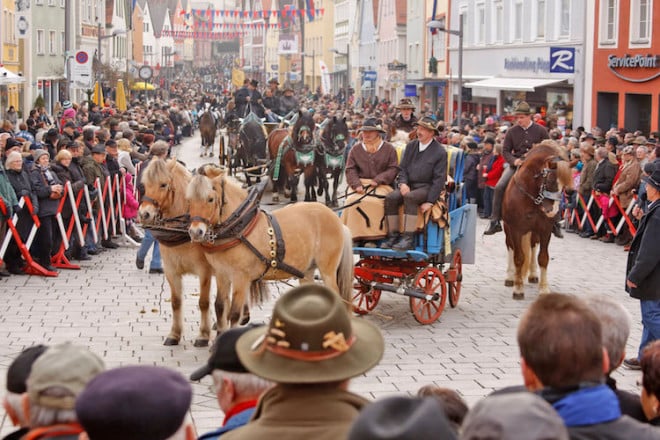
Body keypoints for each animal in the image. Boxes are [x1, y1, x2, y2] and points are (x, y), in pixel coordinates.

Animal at [137, 158, 232, 348]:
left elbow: (203, 302)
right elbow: (175, 302)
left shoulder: (204, 272)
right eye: (144, 185)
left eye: (163, 184)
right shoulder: (171, 270)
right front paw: (174, 334)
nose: (144, 214)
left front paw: (203, 335)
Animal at [183, 169, 354, 326]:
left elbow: (234, 314)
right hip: (307, 270)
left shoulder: (240, 278)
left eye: (210, 199)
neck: (239, 228)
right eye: (188, 200)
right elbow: (220, 308)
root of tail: (337, 220)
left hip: (327, 271)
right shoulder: (221, 274)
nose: (195, 232)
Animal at [502, 141, 576, 300]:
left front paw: (544, 288)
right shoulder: (516, 230)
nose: (552, 211)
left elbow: (543, 258)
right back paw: (510, 277)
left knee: (533, 245)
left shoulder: (545, 230)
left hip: (534, 231)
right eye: (551, 181)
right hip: (507, 227)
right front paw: (518, 288)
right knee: (510, 247)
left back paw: (533, 275)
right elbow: (519, 257)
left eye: (565, 188)